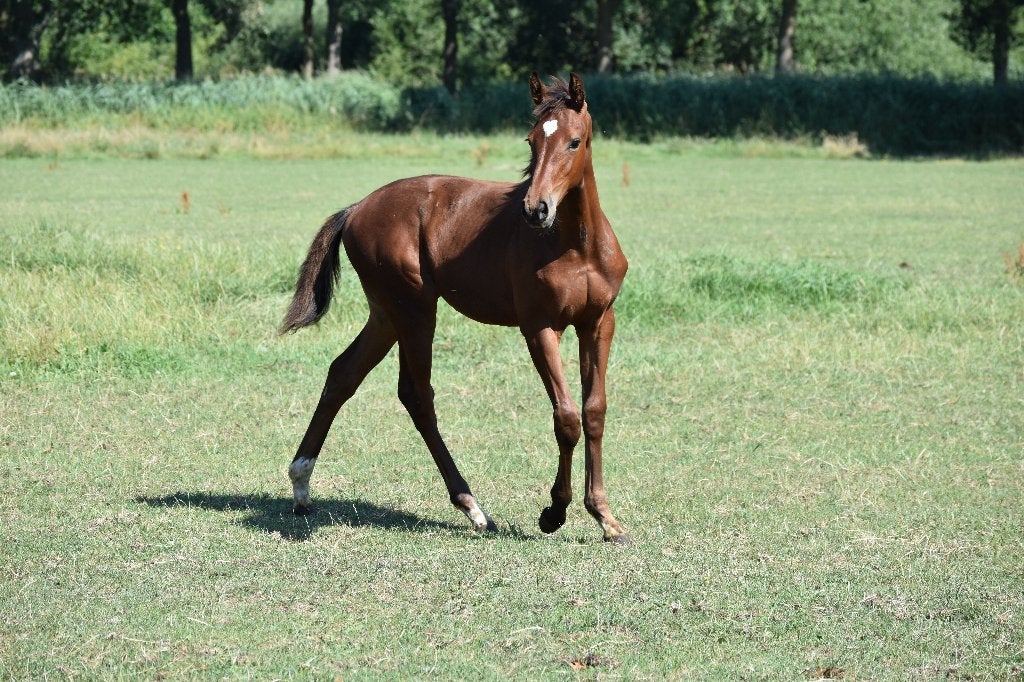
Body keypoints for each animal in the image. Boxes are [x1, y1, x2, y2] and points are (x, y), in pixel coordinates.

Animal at [281, 72, 630, 544]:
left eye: (574, 142)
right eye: (531, 140)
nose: (535, 209)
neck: (575, 245)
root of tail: (355, 210)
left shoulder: (598, 323)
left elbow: (594, 412)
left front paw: (605, 517)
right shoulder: (540, 327)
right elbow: (567, 417)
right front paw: (554, 511)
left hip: (386, 314)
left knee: (343, 374)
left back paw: (302, 486)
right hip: (414, 308)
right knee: (416, 394)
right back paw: (472, 507)